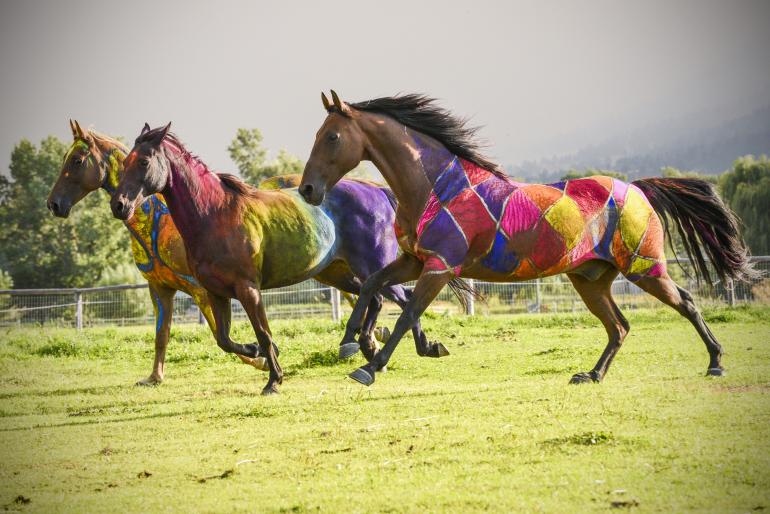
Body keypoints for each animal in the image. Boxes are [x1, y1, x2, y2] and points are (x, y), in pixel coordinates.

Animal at [110, 123, 452, 394]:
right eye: (125, 161)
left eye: (144, 161)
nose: (119, 205)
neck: (214, 215)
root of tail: (377, 191)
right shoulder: (216, 292)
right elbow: (224, 339)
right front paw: (257, 354)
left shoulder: (248, 289)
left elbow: (263, 332)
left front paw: (273, 379)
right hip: (339, 273)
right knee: (381, 298)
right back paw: (375, 347)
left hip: (372, 265)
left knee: (401, 296)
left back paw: (407, 348)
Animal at [298, 91, 758, 387]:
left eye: (332, 137)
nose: (307, 190)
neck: (435, 187)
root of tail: (637, 189)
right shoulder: (414, 260)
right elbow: (373, 287)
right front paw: (353, 342)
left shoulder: (439, 267)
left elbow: (407, 311)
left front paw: (371, 366)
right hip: (591, 279)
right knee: (619, 326)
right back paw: (591, 375)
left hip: (644, 268)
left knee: (687, 302)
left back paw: (715, 362)